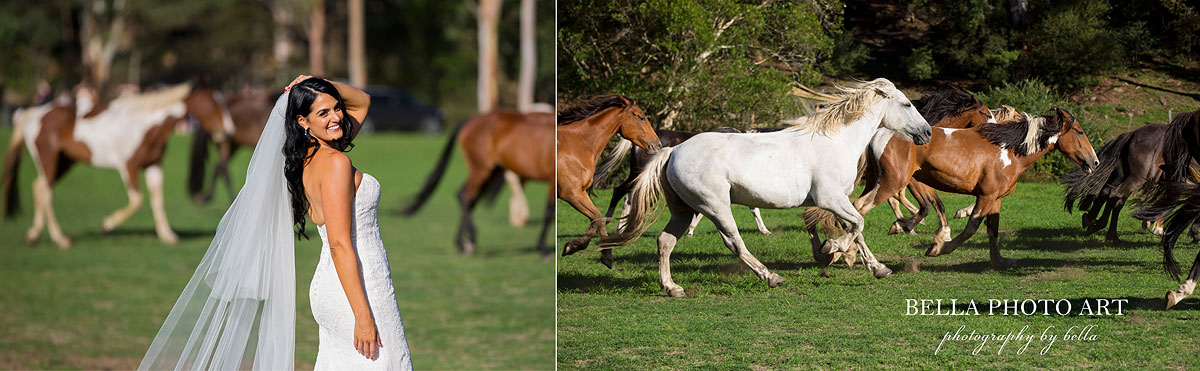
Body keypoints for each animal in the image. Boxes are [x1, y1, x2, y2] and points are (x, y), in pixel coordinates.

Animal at [2, 82, 229, 247]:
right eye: (212, 102)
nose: (227, 130)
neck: (146, 125)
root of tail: (33, 114)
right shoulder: (128, 167)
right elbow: (137, 200)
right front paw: (107, 225)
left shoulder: (154, 165)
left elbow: (157, 200)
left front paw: (167, 235)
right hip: (49, 160)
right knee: (45, 191)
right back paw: (60, 238)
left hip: (64, 162)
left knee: (38, 187)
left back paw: (33, 235)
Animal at [400, 108, 554, 255]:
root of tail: (472, 120)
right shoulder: (553, 179)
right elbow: (549, 213)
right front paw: (543, 249)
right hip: (481, 169)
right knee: (463, 195)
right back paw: (469, 240)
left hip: (490, 171)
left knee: (470, 199)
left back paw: (464, 244)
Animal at [556, 93, 662, 265]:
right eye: (641, 118)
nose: (658, 145)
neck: (577, 144)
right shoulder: (571, 193)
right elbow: (598, 217)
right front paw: (574, 247)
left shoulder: (578, 193)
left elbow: (597, 219)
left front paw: (605, 253)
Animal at [597, 78, 926, 297]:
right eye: (907, 104)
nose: (926, 133)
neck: (836, 141)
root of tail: (672, 151)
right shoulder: (829, 198)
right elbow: (857, 225)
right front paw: (832, 249)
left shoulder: (839, 200)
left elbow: (855, 228)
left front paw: (878, 267)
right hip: (715, 206)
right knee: (734, 243)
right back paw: (771, 277)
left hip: (684, 209)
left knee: (665, 241)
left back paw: (671, 287)